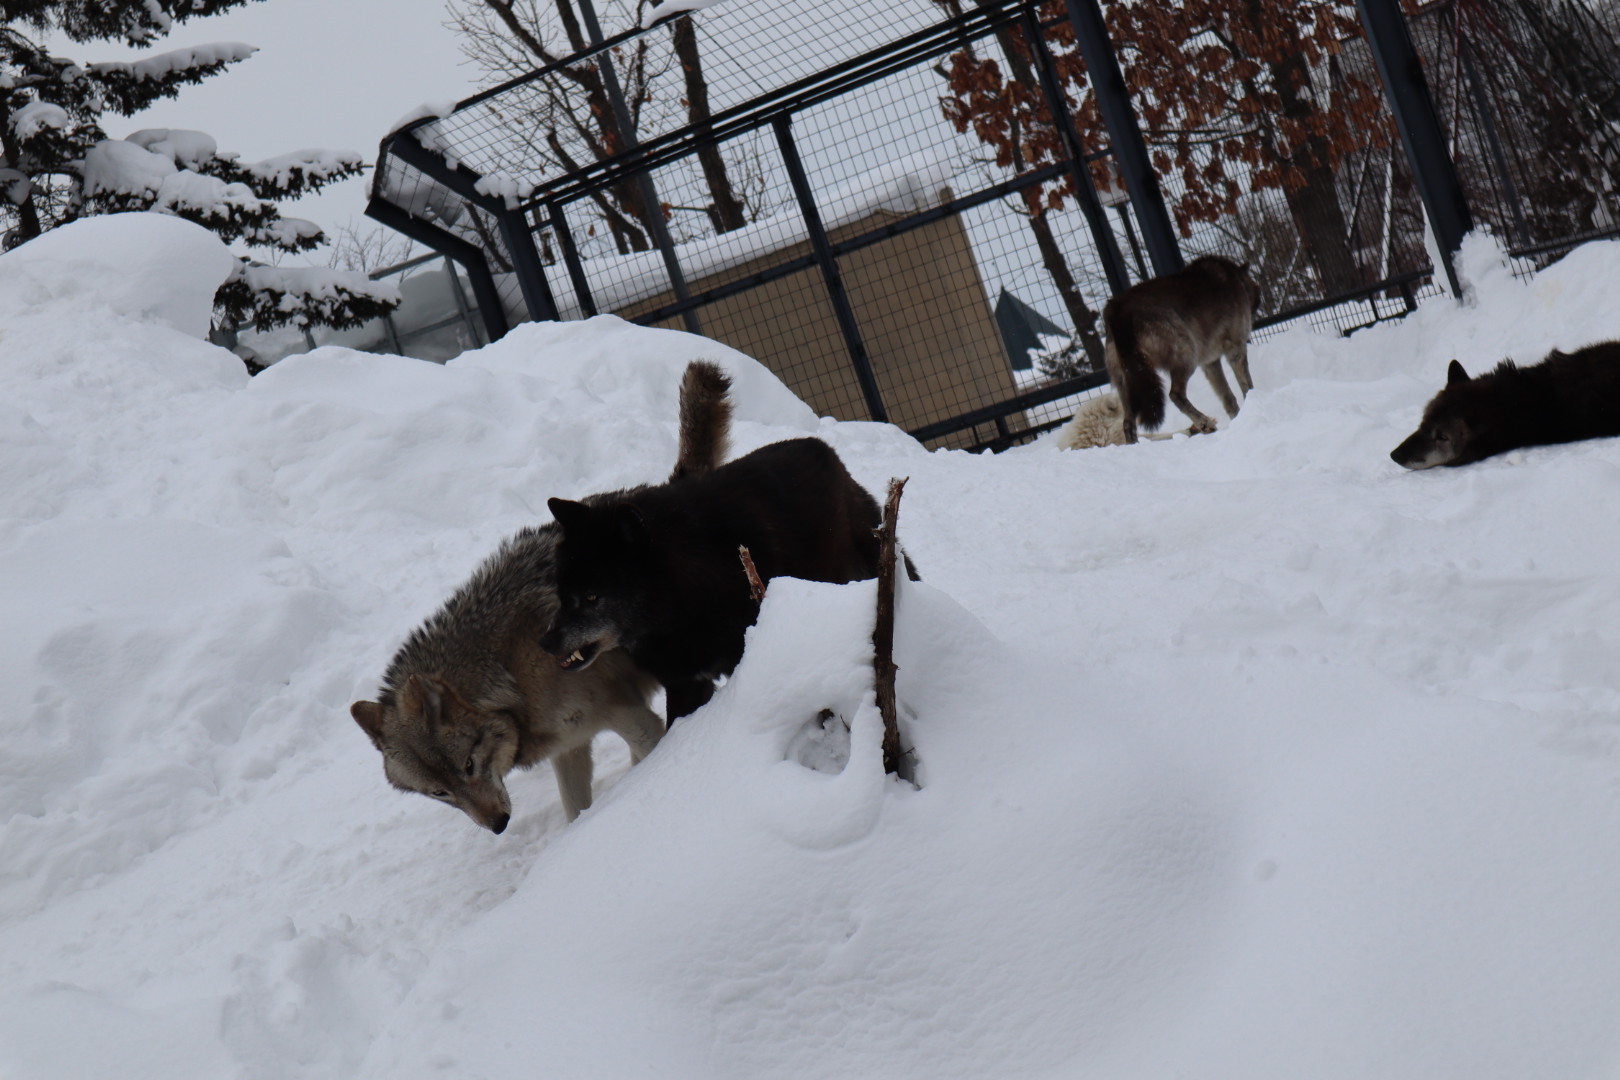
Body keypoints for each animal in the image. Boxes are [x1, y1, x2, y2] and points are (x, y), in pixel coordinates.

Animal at [353, 359, 735, 835]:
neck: (512, 670)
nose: (498, 824)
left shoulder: (628, 715)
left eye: (469, 765)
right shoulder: (568, 745)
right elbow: (575, 811)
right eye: (441, 794)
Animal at [1101, 255, 1263, 446]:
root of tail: (1116, 310)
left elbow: (1228, 397)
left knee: (1127, 424)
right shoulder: (1236, 350)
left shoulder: (1210, 363)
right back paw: (1204, 423)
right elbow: (1247, 387)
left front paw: (1238, 418)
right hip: (1187, 355)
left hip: (1128, 385)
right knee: (1175, 394)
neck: (1237, 279)